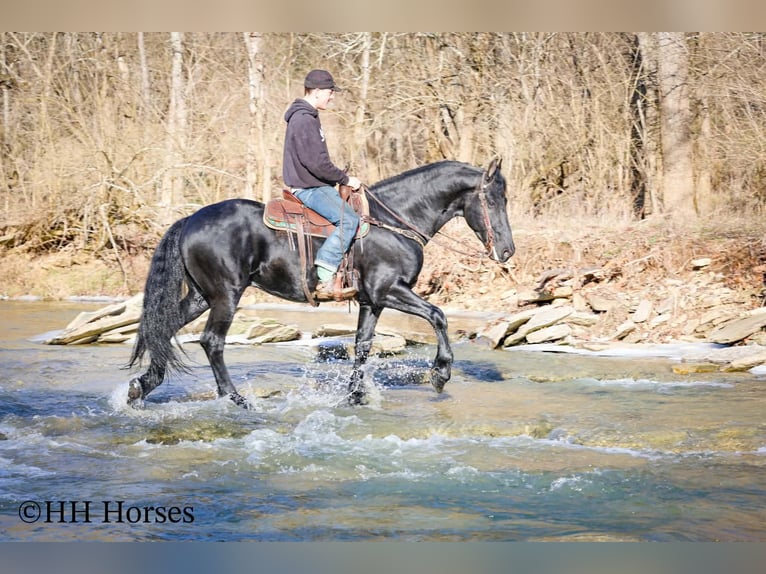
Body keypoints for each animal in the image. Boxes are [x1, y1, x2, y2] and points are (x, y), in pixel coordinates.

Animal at [126, 158, 515, 408]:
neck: (394, 221)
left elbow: (362, 345)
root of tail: (190, 219)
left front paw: (355, 396)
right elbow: (438, 316)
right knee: (212, 342)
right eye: (494, 199)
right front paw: (440, 373)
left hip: (201, 296)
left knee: (162, 329)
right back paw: (235, 399)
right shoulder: (389, 290)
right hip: (226, 295)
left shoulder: (371, 301)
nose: (507, 251)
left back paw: (141, 388)